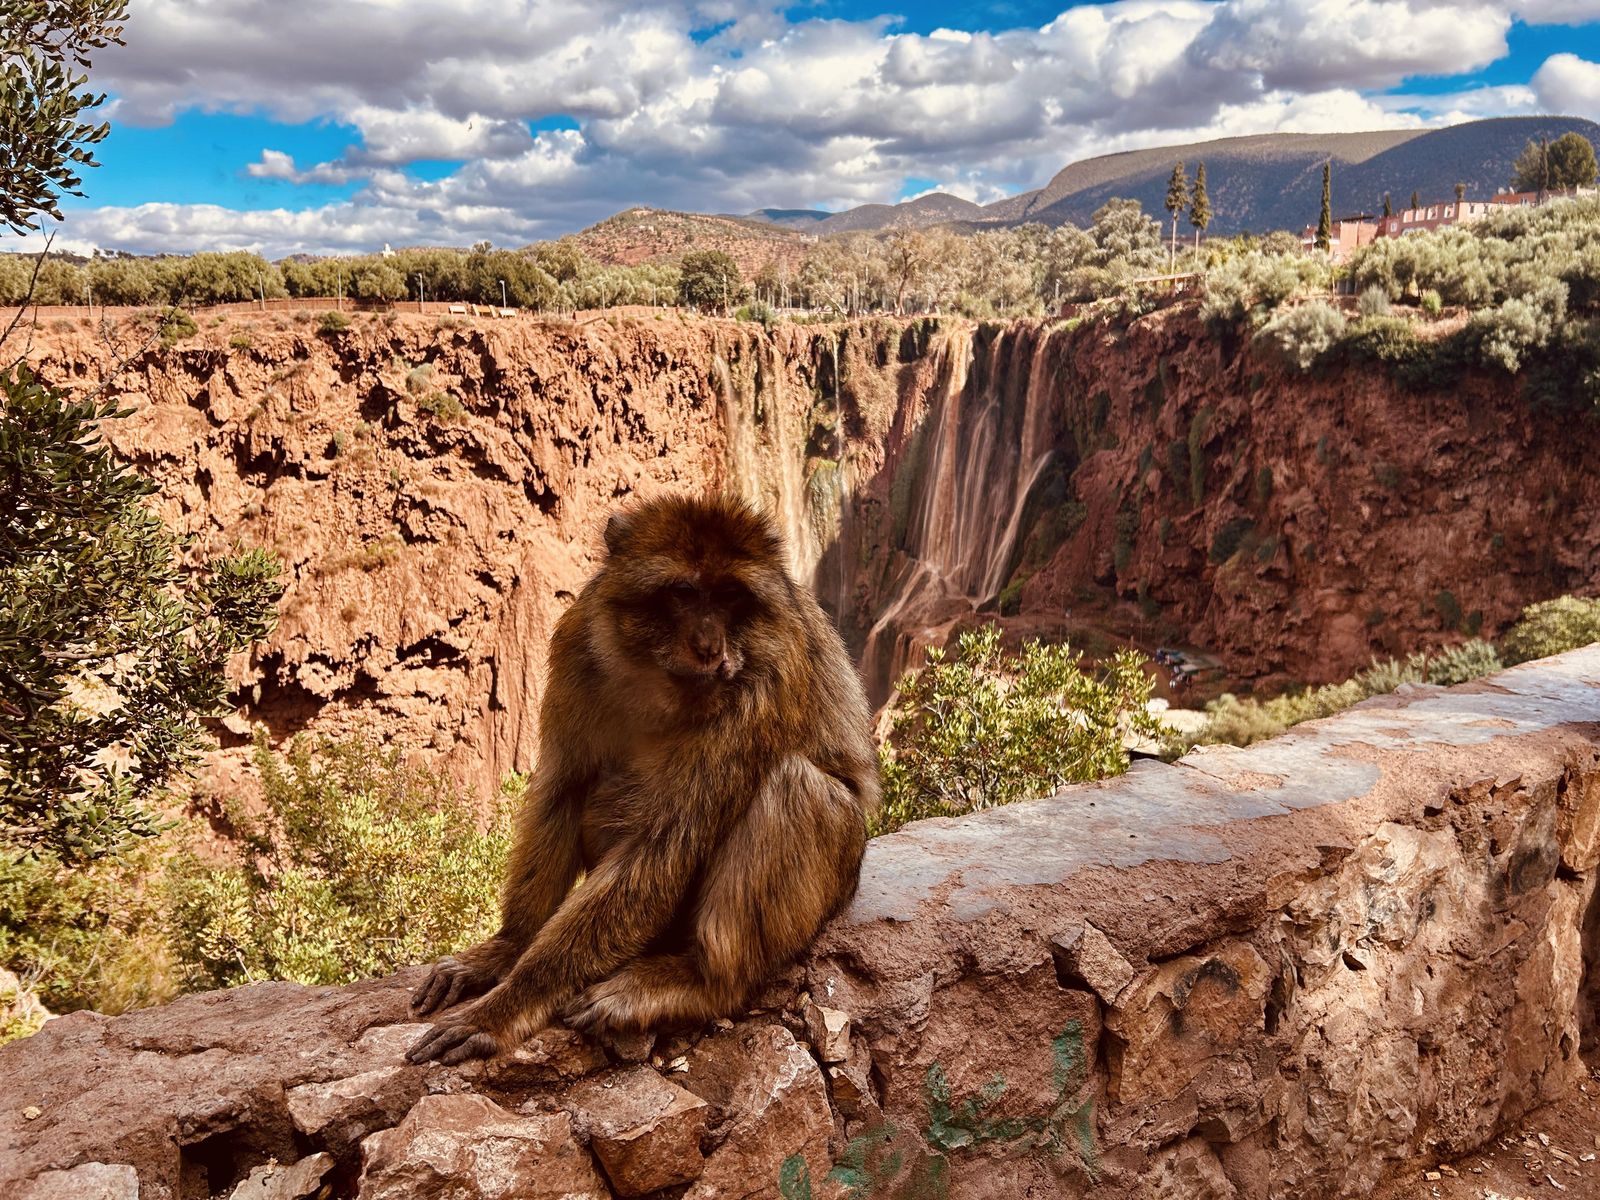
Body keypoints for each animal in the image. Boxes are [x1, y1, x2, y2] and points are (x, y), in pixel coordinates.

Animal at [407, 493, 879, 1065]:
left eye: (729, 597)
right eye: (684, 593)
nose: (711, 646)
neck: (658, 679)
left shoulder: (764, 682)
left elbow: (665, 844)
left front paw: (505, 1006)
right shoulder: (577, 641)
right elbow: (562, 789)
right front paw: (508, 947)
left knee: (797, 786)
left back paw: (701, 983)